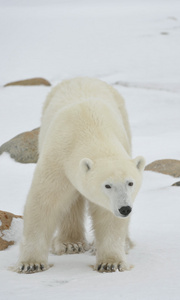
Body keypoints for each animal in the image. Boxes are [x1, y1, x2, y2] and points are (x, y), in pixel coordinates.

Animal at [15, 78, 145, 274]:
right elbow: (45, 203)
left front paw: (110, 263)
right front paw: (31, 264)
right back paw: (70, 243)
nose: (125, 209)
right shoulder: (57, 160)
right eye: (107, 185)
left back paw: (125, 243)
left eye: (130, 183)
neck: (90, 130)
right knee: (70, 203)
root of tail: (82, 78)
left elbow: (107, 215)